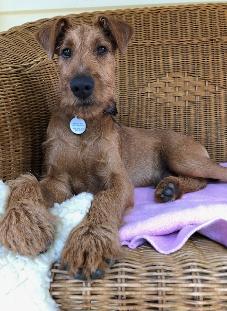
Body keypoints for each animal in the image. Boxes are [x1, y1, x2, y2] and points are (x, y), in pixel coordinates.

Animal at [1, 15, 227, 280]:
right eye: (66, 51)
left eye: (102, 49)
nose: (81, 86)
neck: (84, 125)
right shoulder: (58, 181)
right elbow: (26, 183)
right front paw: (23, 224)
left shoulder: (118, 180)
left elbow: (104, 200)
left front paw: (89, 241)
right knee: (201, 181)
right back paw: (170, 188)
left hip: (183, 157)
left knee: (214, 175)